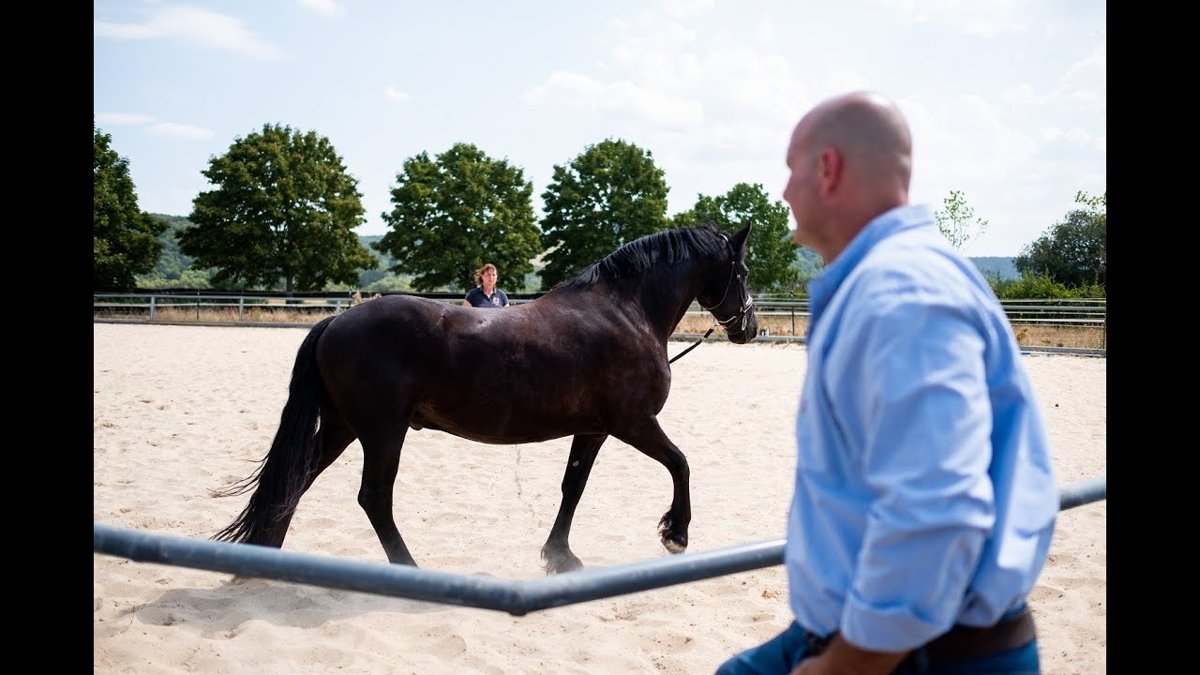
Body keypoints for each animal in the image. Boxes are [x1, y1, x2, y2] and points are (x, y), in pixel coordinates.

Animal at [213, 223, 758, 569]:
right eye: (744, 272)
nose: (750, 327)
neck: (625, 311)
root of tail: (335, 321)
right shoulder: (633, 423)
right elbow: (681, 463)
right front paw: (676, 533)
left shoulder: (593, 430)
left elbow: (573, 487)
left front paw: (560, 557)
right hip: (382, 433)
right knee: (374, 498)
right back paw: (409, 568)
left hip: (343, 429)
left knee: (296, 482)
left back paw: (264, 556)